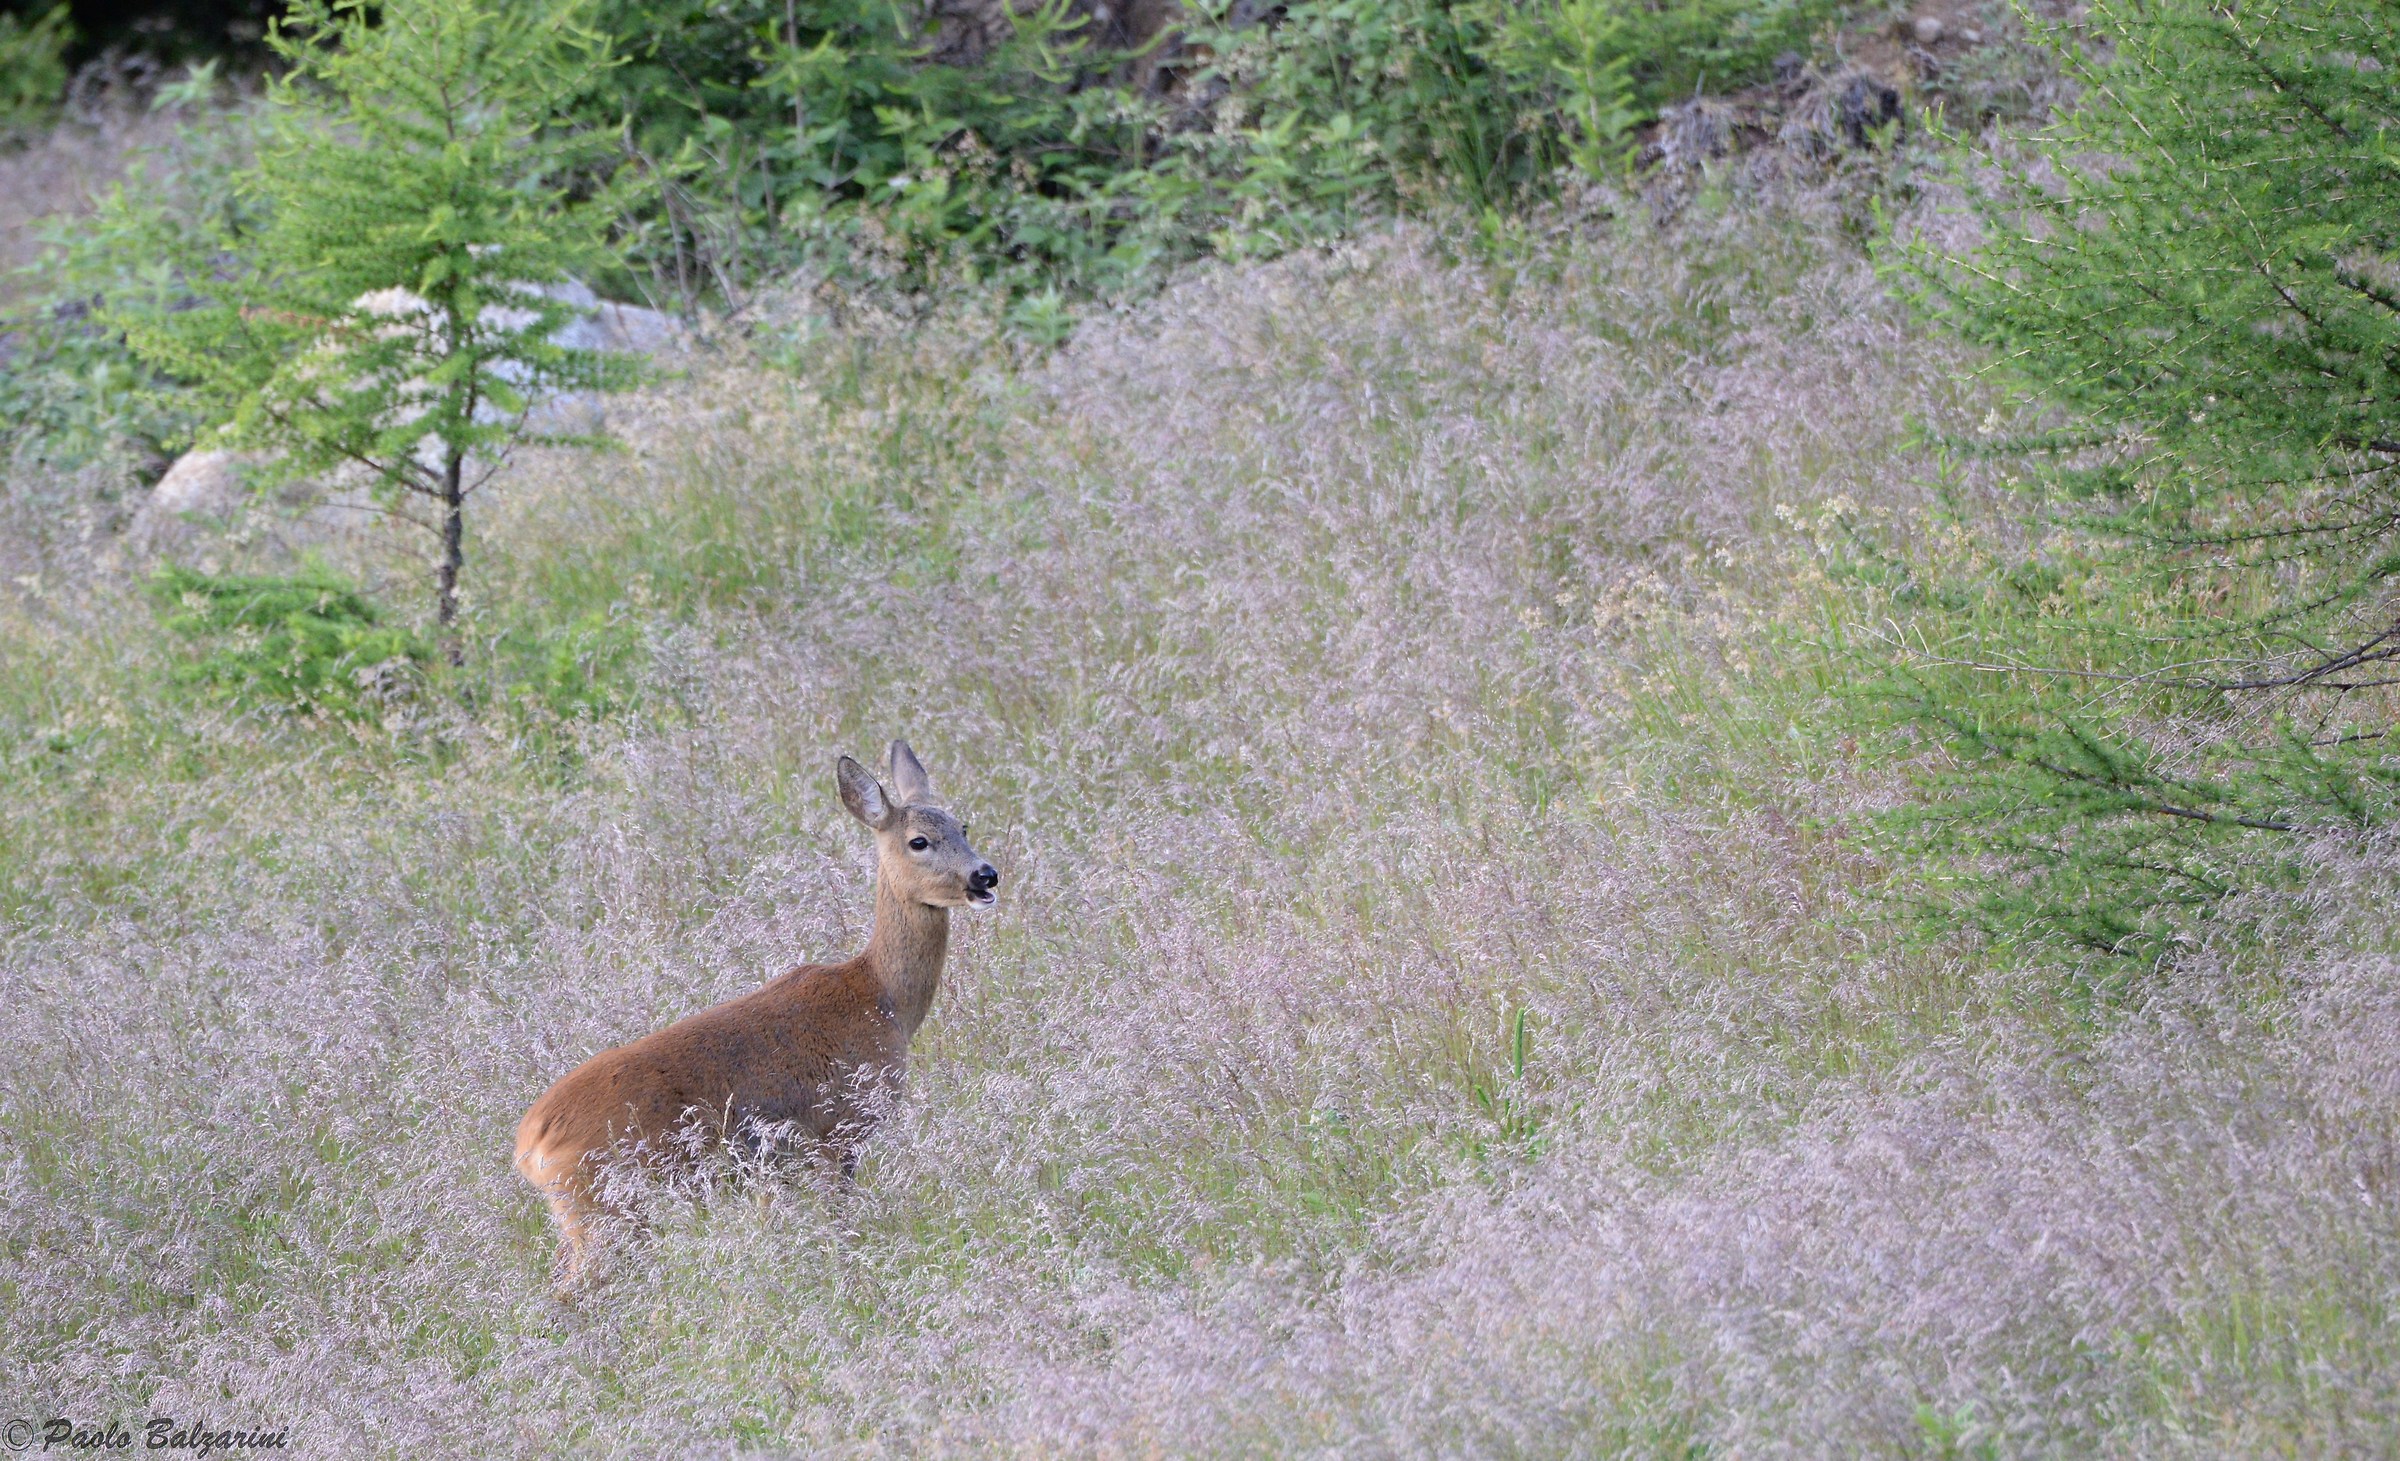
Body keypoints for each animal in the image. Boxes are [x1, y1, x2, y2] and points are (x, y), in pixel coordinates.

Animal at [514, 740, 998, 1292]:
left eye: (963, 825)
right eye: (919, 841)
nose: (985, 875)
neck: (881, 998)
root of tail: (529, 1145)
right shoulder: (836, 1131)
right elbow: (842, 1226)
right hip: (606, 1206)